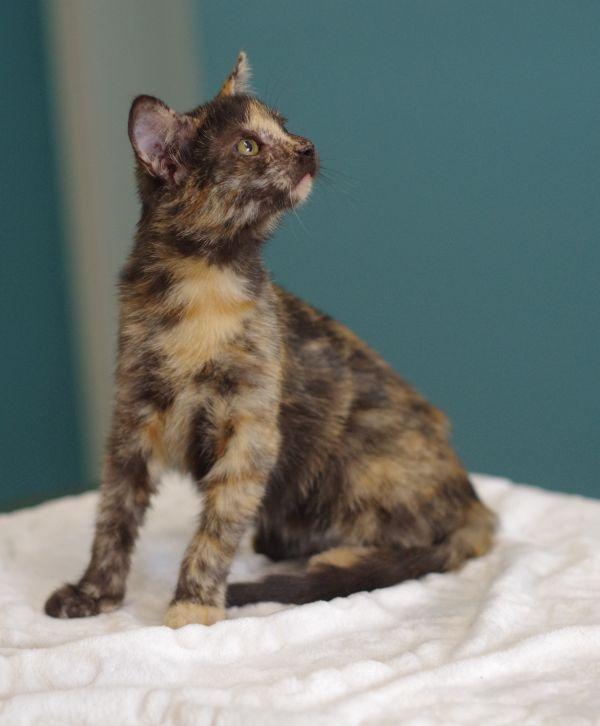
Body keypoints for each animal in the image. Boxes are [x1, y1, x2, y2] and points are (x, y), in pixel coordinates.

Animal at [45, 52, 496, 628]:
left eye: (284, 127)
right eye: (247, 146)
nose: (307, 146)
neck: (205, 284)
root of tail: (472, 500)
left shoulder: (251, 429)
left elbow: (215, 531)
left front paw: (193, 605)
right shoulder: (132, 420)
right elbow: (113, 516)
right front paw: (95, 593)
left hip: (363, 457)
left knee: (427, 547)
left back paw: (331, 559)